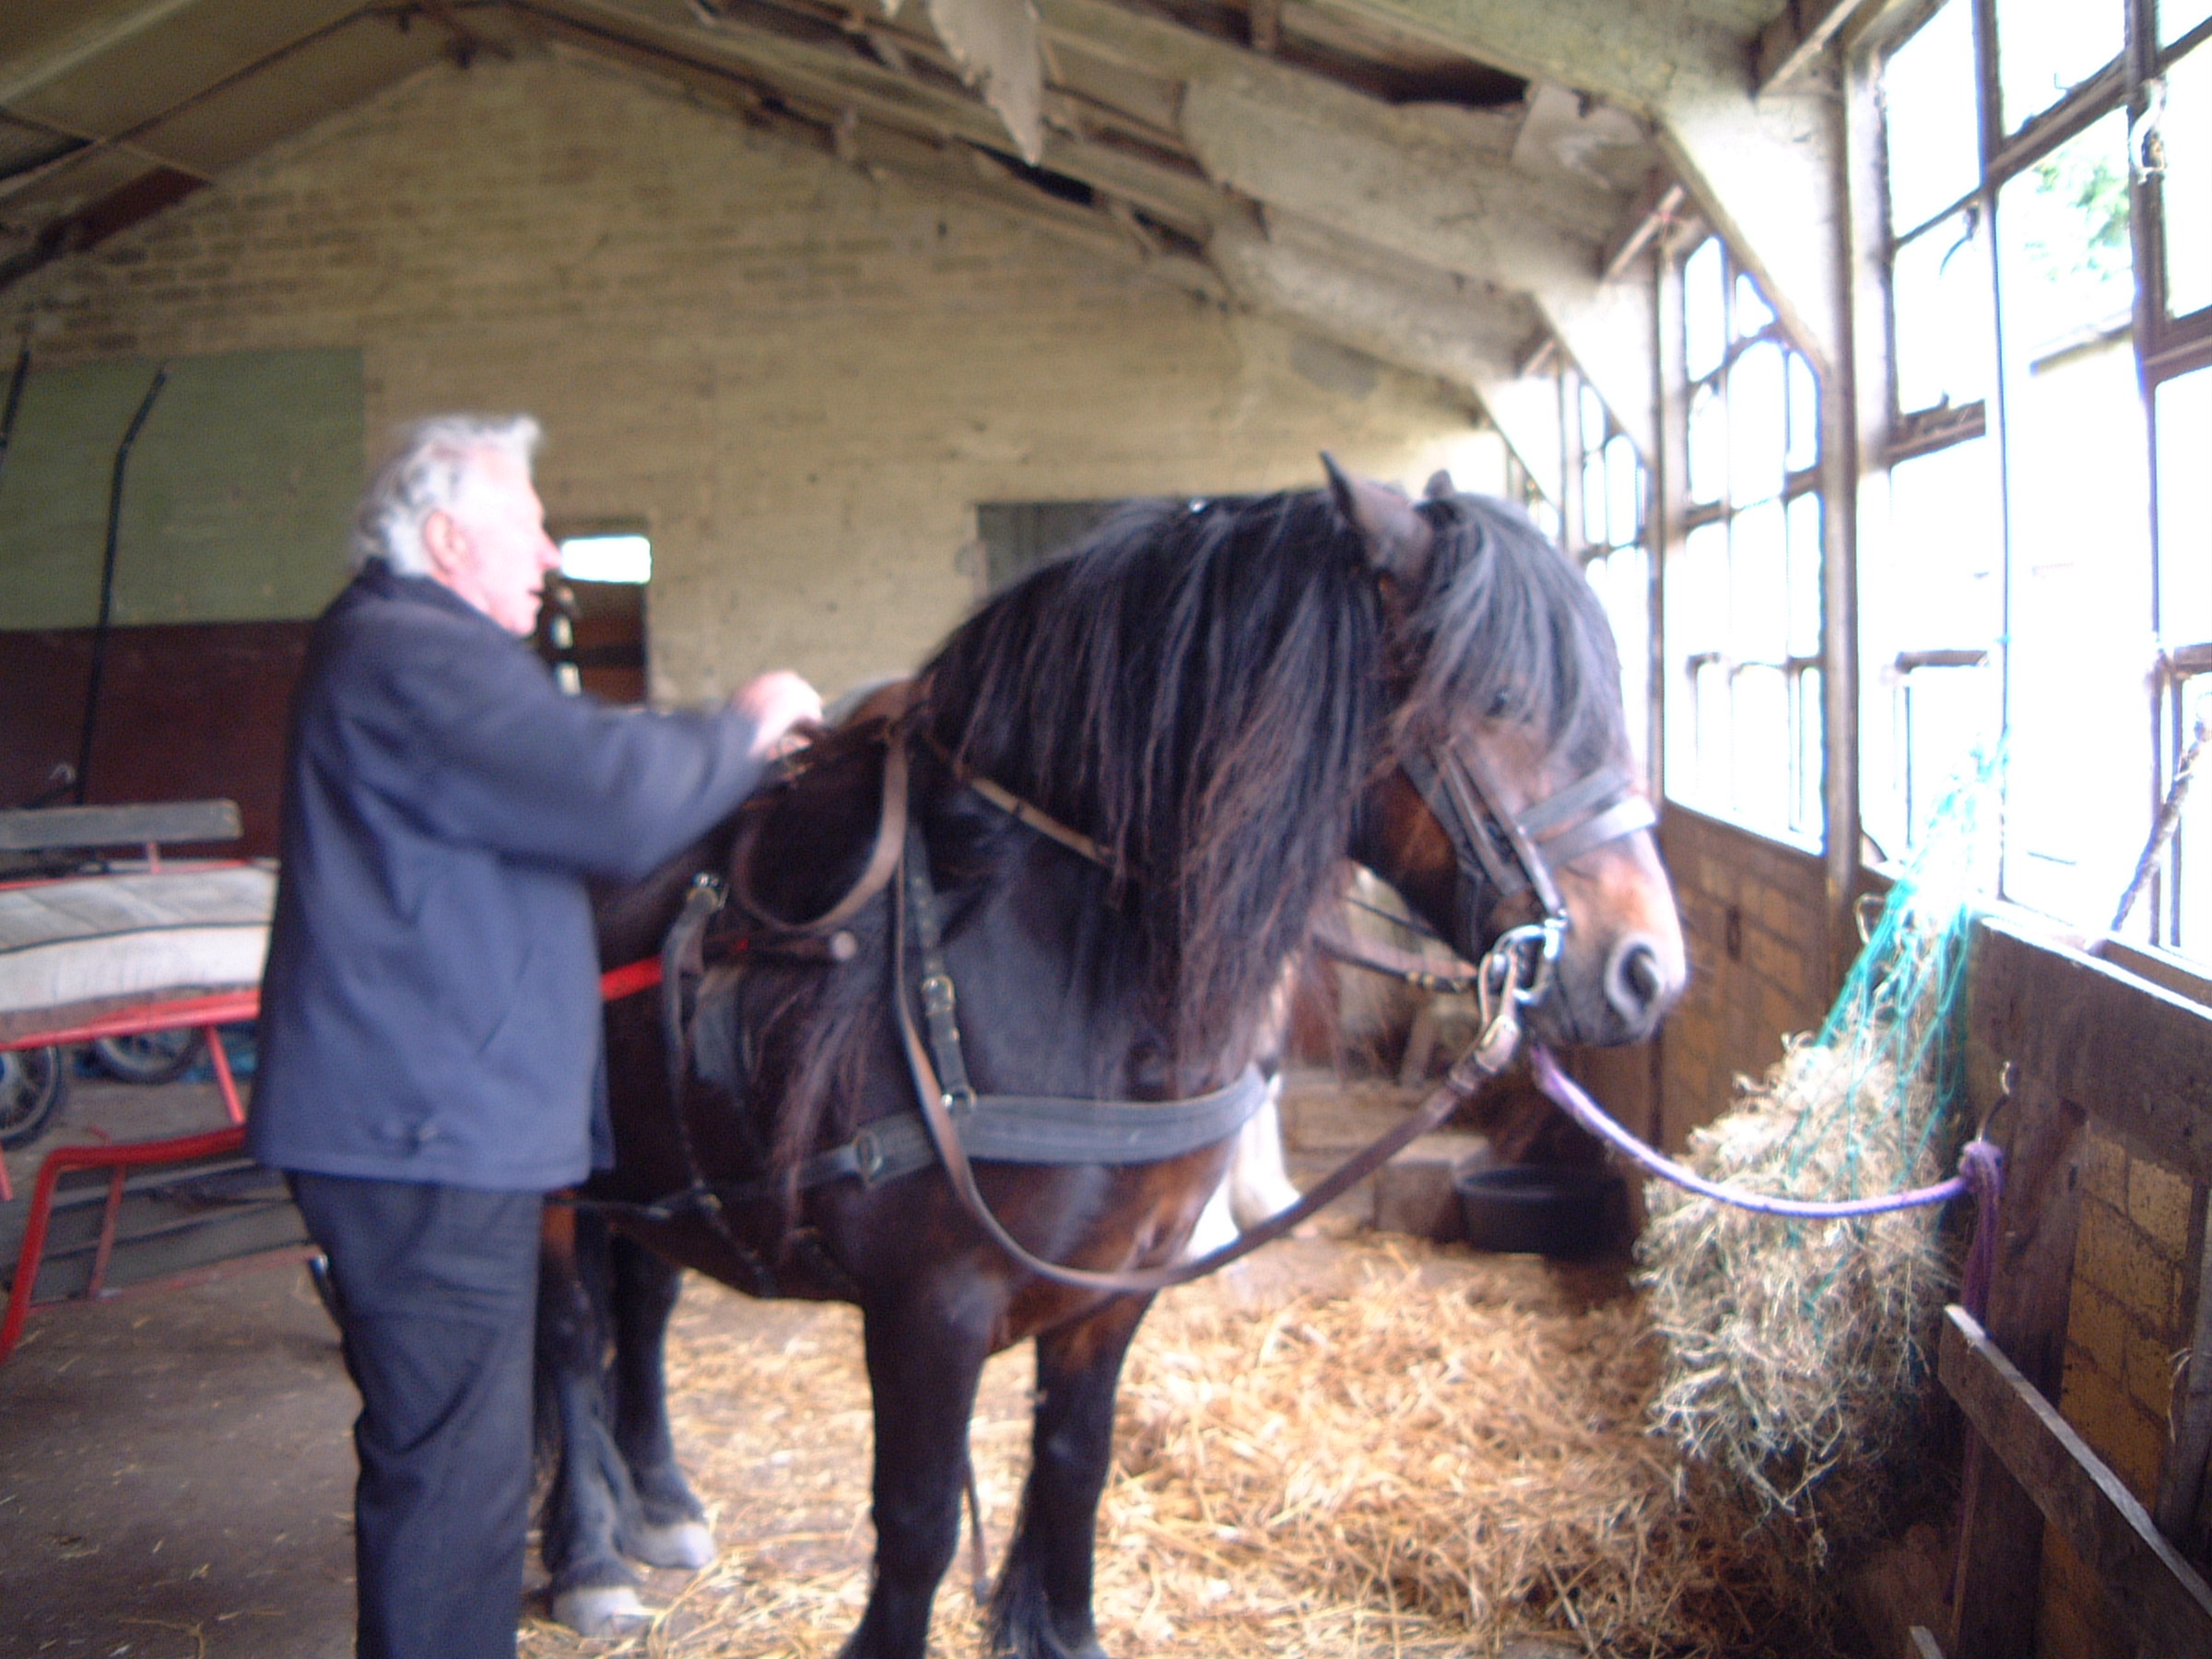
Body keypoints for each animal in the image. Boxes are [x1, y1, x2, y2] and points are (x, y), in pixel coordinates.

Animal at [531, 462, 1672, 1654]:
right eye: (1498, 700)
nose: (1647, 968)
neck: (1034, 944)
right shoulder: (927, 1311)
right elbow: (918, 1525)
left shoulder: (1115, 1291)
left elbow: (1074, 1471)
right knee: (567, 1337)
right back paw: (588, 1552)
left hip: (660, 1173)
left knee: (643, 1307)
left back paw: (656, 1497)